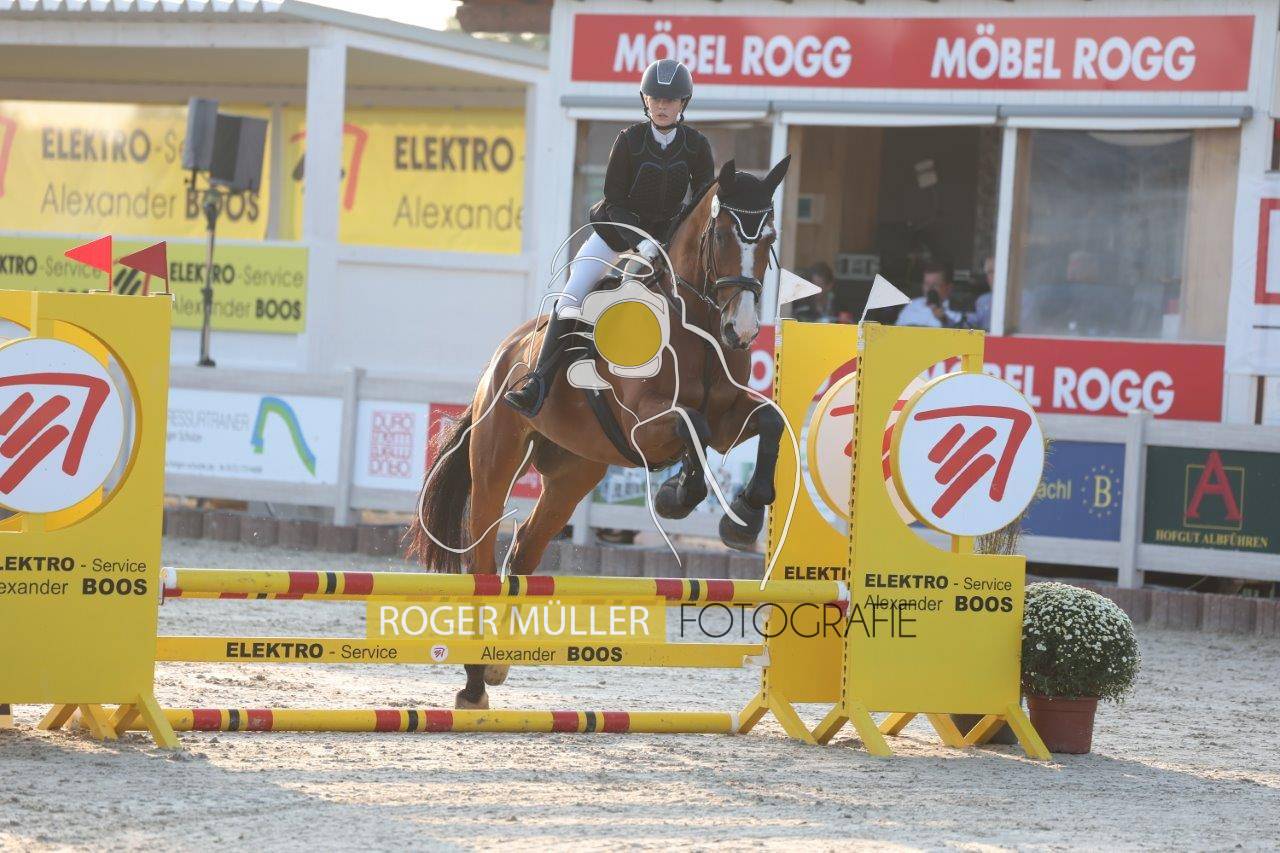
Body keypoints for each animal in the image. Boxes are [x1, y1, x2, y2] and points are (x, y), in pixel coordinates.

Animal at [407, 156, 792, 710]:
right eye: (720, 233)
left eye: (770, 238)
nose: (740, 332)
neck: (693, 327)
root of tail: (503, 354)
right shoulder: (645, 424)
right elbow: (690, 425)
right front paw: (678, 495)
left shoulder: (727, 418)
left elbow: (768, 420)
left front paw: (742, 515)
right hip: (497, 461)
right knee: (480, 557)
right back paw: (475, 683)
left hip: (574, 473)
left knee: (523, 551)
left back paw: (498, 664)